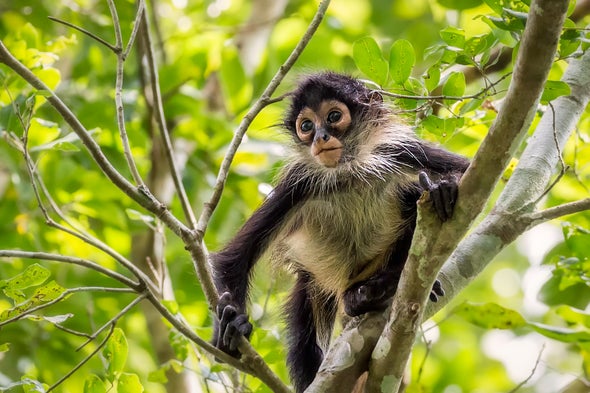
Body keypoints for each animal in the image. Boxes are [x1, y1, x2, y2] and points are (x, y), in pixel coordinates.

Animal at [213, 72, 472, 390]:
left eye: (334, 117)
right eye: (306, 126)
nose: (320, 137)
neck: (348, 173)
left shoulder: (398, 151)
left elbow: (469, 171)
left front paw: (443, 187)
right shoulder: (298, 185)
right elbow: (235, 257)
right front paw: (230, 330)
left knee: (411, 195)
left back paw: (378, 288)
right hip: (313, 282)